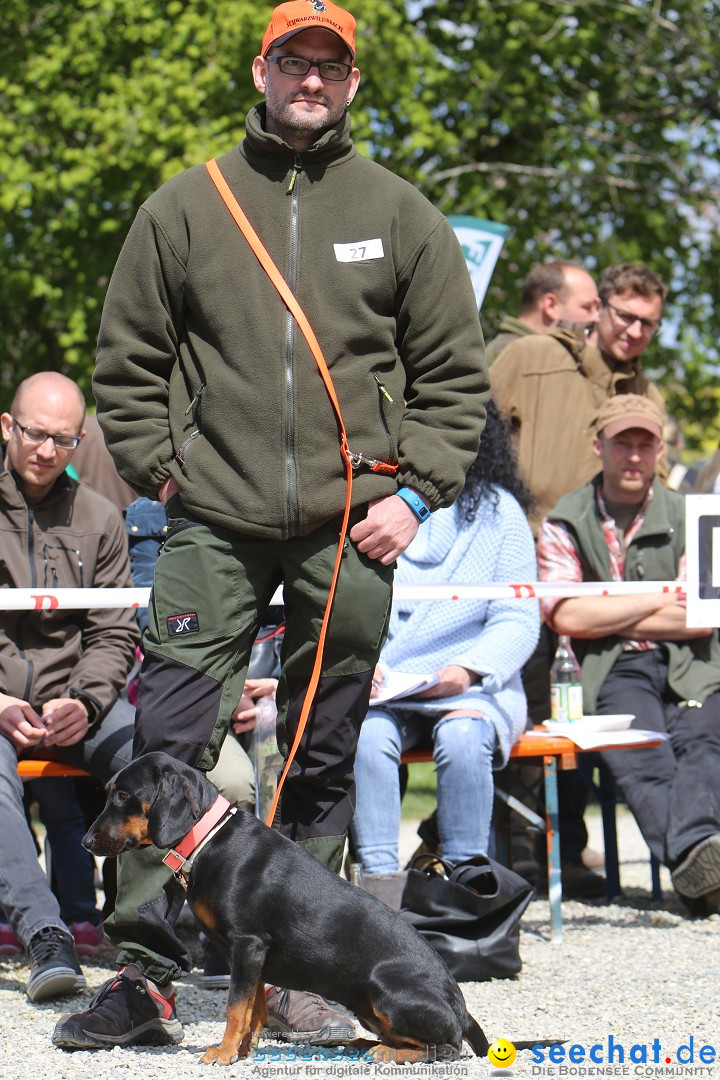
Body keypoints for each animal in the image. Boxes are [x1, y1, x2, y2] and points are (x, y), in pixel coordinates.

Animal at [84, 751, 490, 1062]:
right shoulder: (254, 954)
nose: (87, 842)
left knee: (447, 1048)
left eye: (122, 795)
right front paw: (243, 1050)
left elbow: (235, 1007)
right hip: (367, 1007)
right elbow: (254, 1009)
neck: (207, 839)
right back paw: (363, 1043)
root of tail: (462, 1009)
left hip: (384, 992)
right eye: (108, 792)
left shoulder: (248, 943)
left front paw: (224, 1054)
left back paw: (387, 1053)